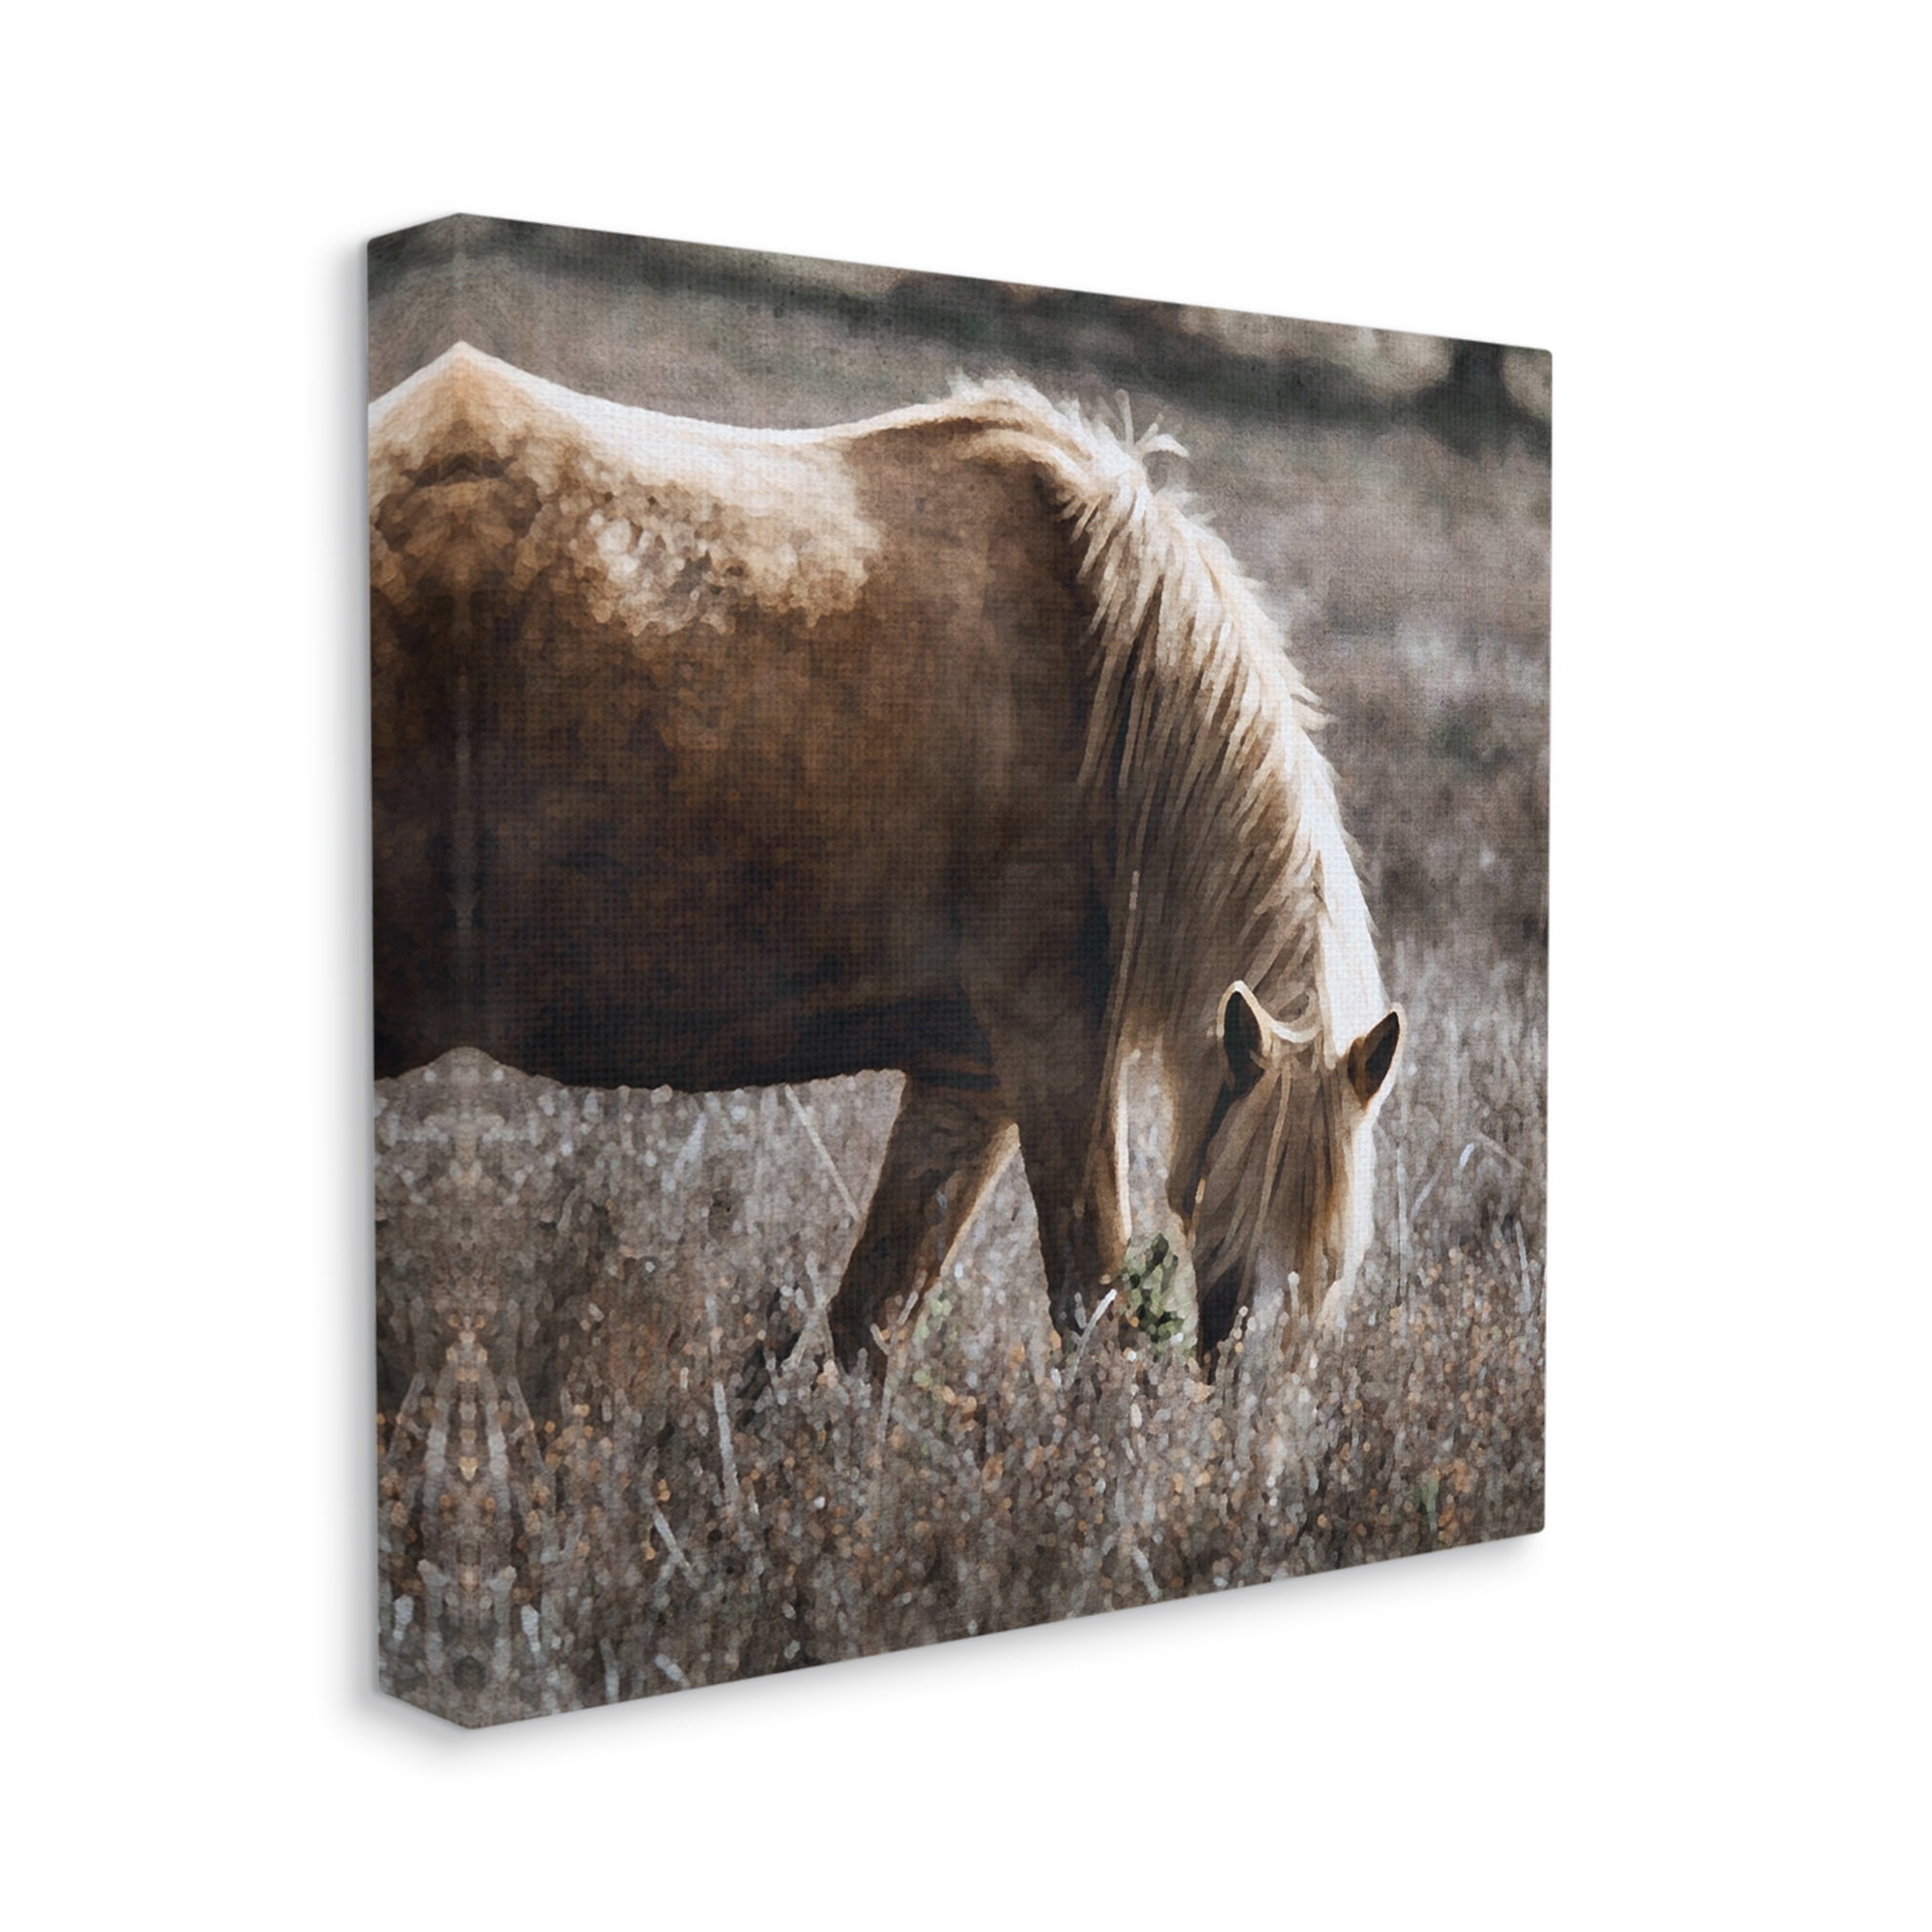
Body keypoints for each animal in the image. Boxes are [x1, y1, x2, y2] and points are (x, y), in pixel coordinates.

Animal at [369, 343, 1402, 1375]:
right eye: (1244, 1216)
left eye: (1336, 1266)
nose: (1256, 1408)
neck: (1107, 683)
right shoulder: (1054, 1059)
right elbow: (1094, 1307)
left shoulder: (968, 1086)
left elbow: (870, 1321)